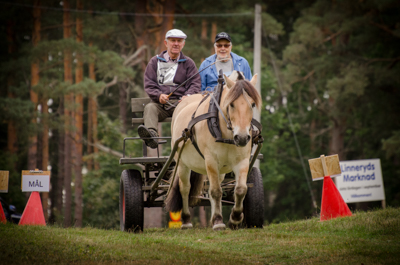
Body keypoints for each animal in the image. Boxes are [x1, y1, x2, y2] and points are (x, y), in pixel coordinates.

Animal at [164, 70, 260, 229]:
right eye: (231, 104)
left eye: (252, 104)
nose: (241, 138)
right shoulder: (211, 161)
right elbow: (215, 192)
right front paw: (218, 222)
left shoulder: (242, 161)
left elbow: (241, 189)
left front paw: (235, 218)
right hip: (182, 162)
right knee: (185, 188)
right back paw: (186, 220)